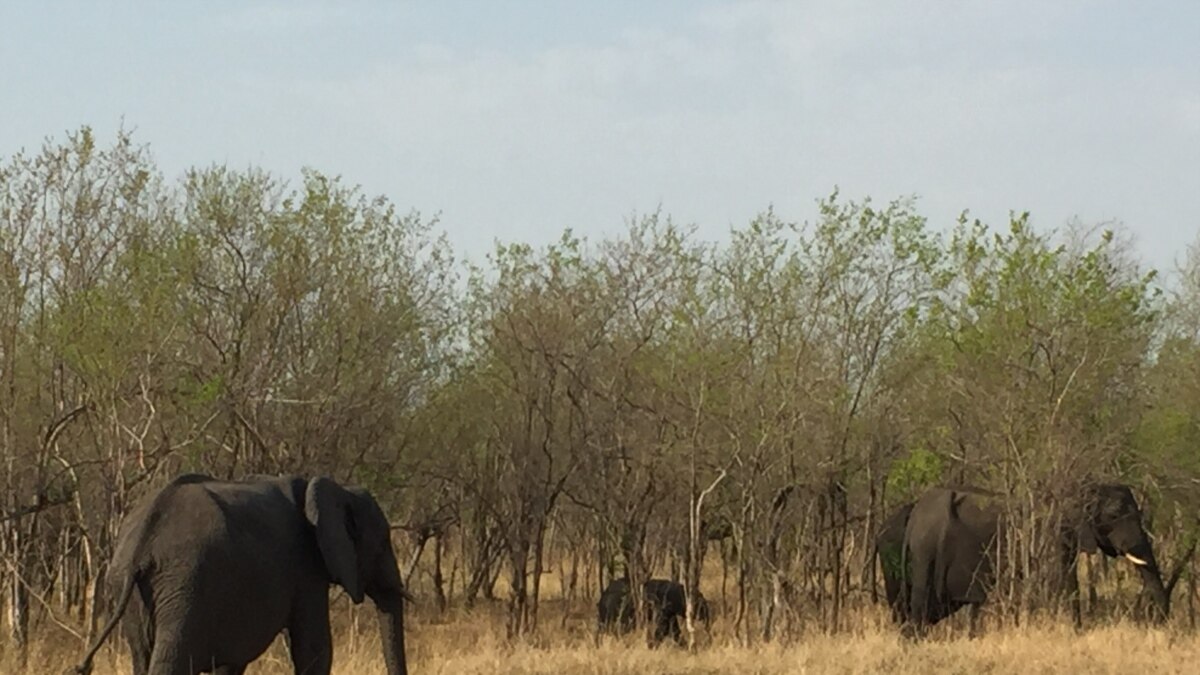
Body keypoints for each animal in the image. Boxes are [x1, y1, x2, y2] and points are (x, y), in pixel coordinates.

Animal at [70, 473, 408, 675]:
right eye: (383, 543)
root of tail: (143, 541)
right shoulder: (307, 568)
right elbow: (313, 648)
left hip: (132, 592)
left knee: (142, 658)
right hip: (184, 585)